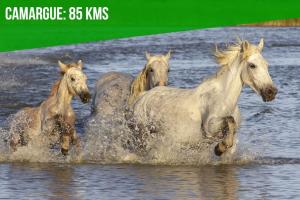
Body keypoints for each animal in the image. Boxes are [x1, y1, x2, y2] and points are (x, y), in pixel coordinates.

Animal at [132, 39, 278, 156]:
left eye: (266, 65)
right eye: (252, 65)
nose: (271, 92)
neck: (225, 100)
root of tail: (143, 96)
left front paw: (220, 148)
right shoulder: (210, 127)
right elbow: (229, 120)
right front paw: (219, 148)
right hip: (142, 137)